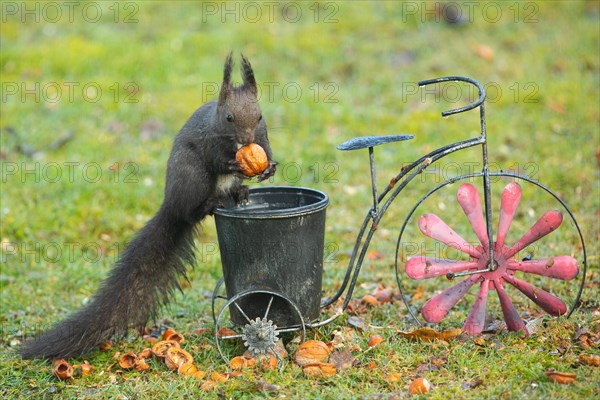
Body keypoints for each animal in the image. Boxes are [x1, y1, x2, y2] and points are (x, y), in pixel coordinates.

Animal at [19, 53, 278, 360]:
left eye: (260, 115)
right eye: (229, 117)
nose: (247, 140)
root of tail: (172, 204)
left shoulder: (262, 134)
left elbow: (267, 148)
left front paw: (269, 167)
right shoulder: (209, 141)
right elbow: (217, 159)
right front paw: (234, 164)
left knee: (228, 192)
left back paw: (240, 193)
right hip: (192, 177)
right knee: (192, 209)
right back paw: (211, 202)